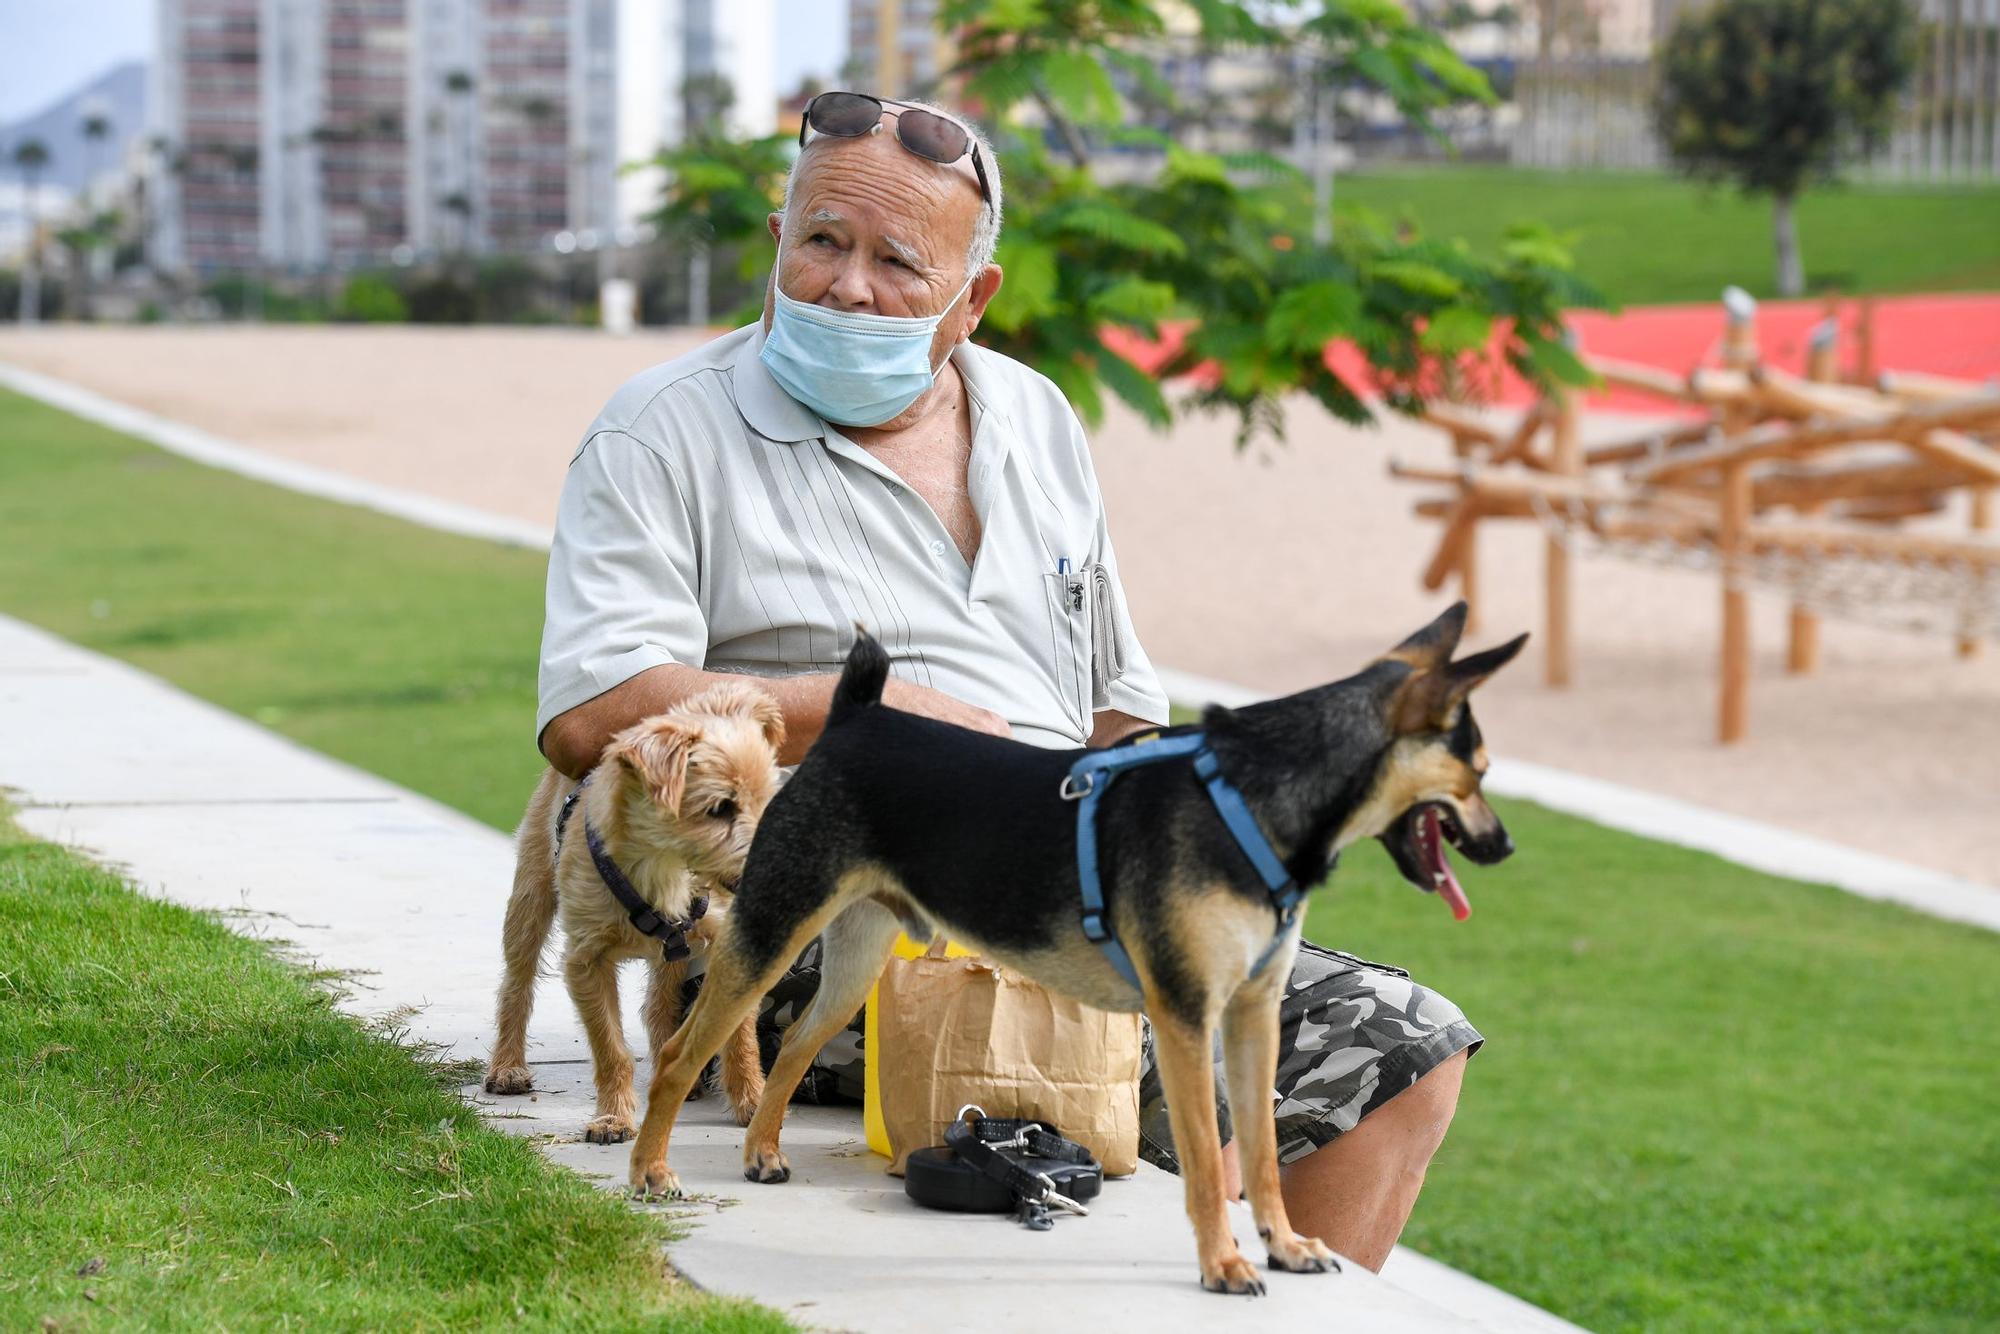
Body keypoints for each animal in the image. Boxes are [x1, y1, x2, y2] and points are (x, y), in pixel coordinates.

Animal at [484, 684, 788, 1144]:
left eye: (769, 801)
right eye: (719, 808)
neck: (664, 868)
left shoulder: (730, 947)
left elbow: (740, 1039)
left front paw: (752, 1101)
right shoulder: (587, 962)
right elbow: (611, 1049)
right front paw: (614, 1117)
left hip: (674, 953)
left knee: (659, 1003)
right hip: (530, 901)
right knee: (516, 984)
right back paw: (507, 1066)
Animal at [632, 604, 1520, 1296]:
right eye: (1475, 771)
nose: (1505, 846)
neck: (1249, 798)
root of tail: (855, 717)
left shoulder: (1253, 1017)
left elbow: (1263, 1159)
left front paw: (1287, 1245)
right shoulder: (1189, 1017)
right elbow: (1209, 1168)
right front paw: (1225, 1266)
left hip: (852, 961)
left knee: (788, 1054)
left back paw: (761, 1155)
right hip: (771, 931)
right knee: (679, 1056)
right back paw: (649, 1173)